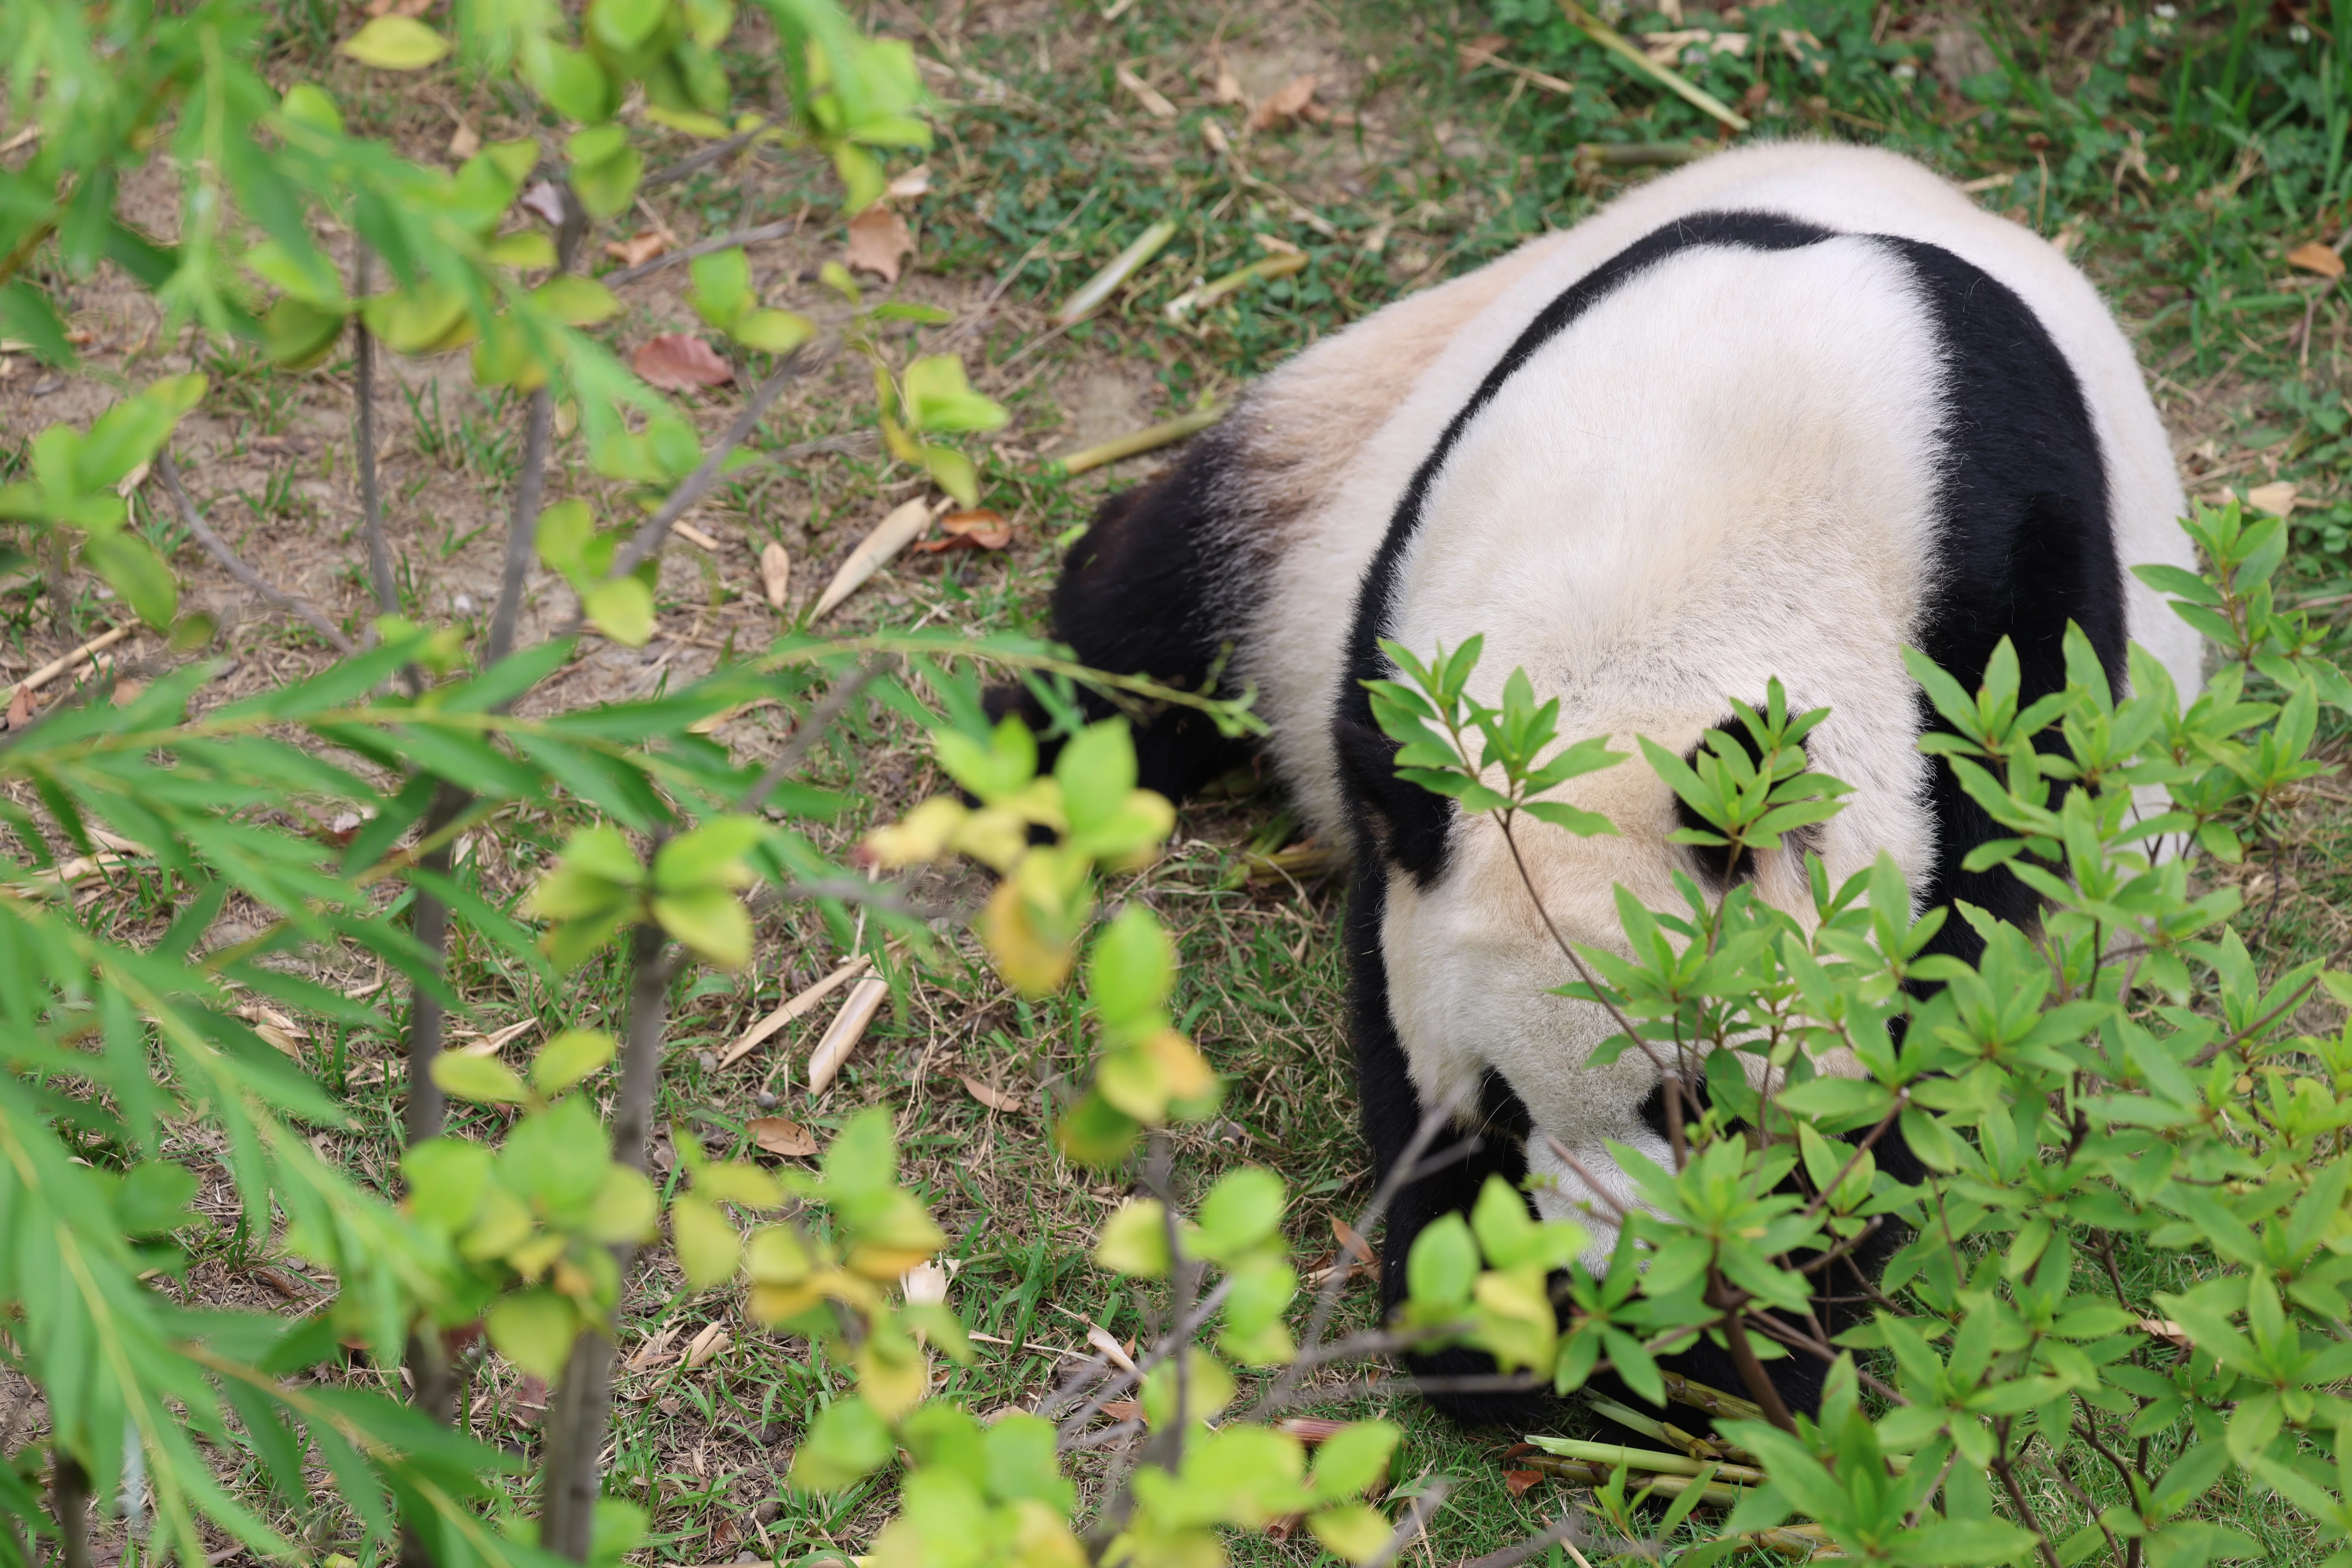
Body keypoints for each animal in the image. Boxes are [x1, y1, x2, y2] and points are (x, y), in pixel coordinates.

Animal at [991, 142, 2204, 1424]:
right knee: (1160, 592)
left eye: (1693, 1103)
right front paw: (1480, 1328)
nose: (1593, 1279)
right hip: (1354, 431)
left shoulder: (2003, 625)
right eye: (1500, 1100)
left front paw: (1751, 1346)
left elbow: (1949, 993)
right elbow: (1386, 974)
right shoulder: (1408, 634)